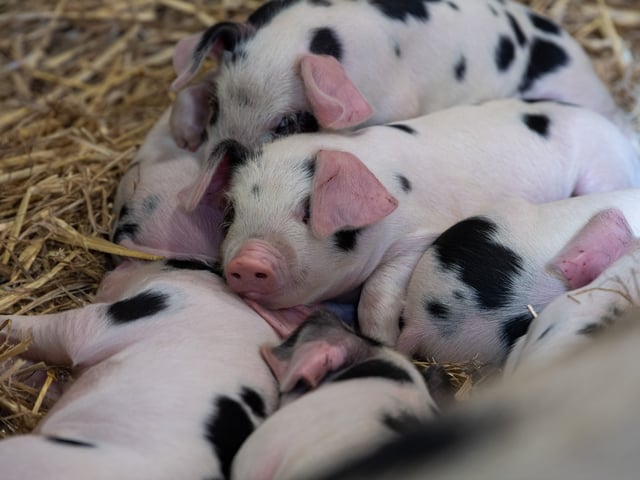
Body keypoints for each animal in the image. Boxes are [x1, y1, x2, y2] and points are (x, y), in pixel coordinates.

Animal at [220, 99, 640, 343]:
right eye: (232, 211)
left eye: (307, 211)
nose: (248, 261)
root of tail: (618, 136)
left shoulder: (421, 237)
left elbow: (377, 292)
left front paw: (384, 339)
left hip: (603, 170)